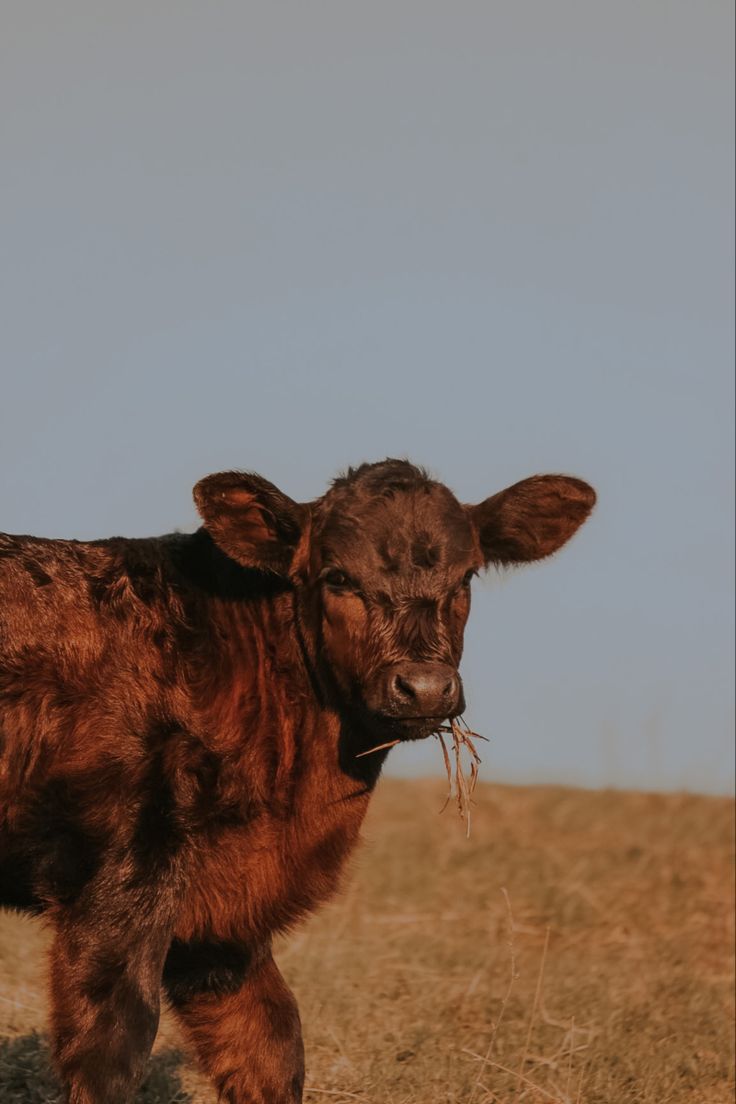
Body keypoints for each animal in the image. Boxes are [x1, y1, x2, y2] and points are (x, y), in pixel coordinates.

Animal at [0, 454, 591, 1095]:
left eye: (466, 578)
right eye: (337, 577)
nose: (424, 687)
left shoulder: (220, 917)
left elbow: (271, 1041)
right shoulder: (119, 879)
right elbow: (114, 1047)